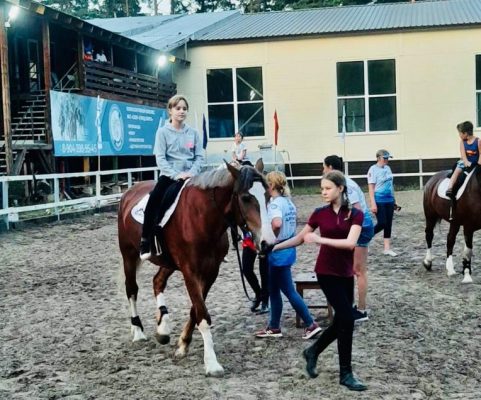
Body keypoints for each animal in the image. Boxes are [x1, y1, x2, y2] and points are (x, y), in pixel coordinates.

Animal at [116, 159, 276, 376]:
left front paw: (183, 344)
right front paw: (212, 363)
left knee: (157, 281)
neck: (201, 217)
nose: (268, 242)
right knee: (132, 289)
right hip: (129, 255)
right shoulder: (190, 271)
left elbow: (196, 310)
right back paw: (138, 331)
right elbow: (202, 314)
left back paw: (163, 328)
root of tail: (130, 191)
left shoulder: (210, 272)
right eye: (245, 198)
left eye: (267, 195)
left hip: (169, 263)